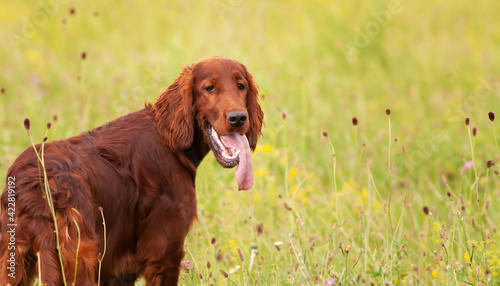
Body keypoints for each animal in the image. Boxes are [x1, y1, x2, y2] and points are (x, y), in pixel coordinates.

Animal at [0, 57, 264, 284]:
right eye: (209, 88)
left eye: (241, 85)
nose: (238, 118)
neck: (169, 139)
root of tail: (35, 184)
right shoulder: (164, 255)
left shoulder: (120, 273)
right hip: (80, 260)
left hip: (14, 261)